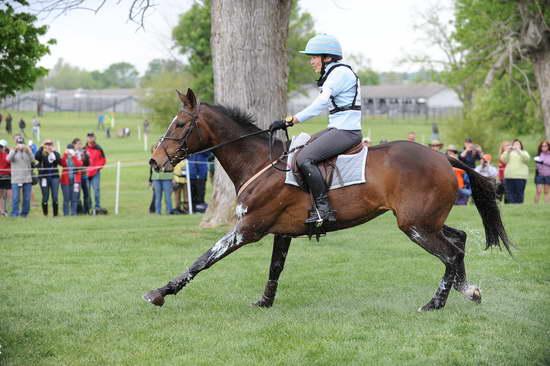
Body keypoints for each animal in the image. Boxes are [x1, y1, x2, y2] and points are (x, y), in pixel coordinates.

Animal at [144, 88, 516, 312]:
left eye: (180, 124)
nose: (154, 161)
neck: (261, 163)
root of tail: (443, 157)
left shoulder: (247, 229)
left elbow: (203, 260)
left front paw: (160, 292)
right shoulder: (282, 231)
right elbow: (275, 267)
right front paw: (265, 302)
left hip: (416, 226)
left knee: (450, 254)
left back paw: (435, 303)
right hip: (427, 221)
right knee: (459, 240)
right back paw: (467, 290)